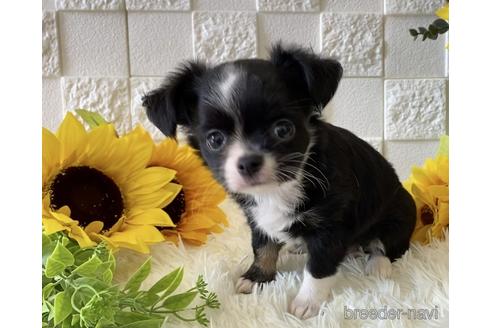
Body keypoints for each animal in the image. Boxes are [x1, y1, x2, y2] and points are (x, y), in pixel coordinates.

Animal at [142, 44, 416, 320]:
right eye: (215, 139)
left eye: (283, 130)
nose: (248, 162)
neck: (279, 189)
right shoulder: (257, 217)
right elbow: (263, 247)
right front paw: (257, 277)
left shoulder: (330, 225)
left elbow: (318, 267)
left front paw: (306, 303)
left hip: (399, 215)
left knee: (385, 245)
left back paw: (378, 265)